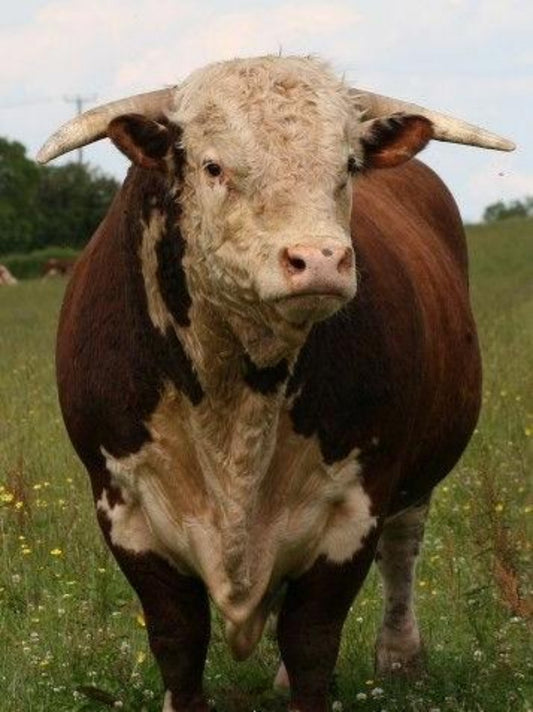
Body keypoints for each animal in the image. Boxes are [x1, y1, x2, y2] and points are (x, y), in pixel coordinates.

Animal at [37, 56, 514, 712]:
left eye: (347, 166)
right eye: (213, 166)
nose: (319, 260)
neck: (236, 399)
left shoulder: (355, 508)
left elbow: (312, 639)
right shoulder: (124, 507)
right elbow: (178, 639)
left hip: (416, 474)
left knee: (402, 550)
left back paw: (400, 655)